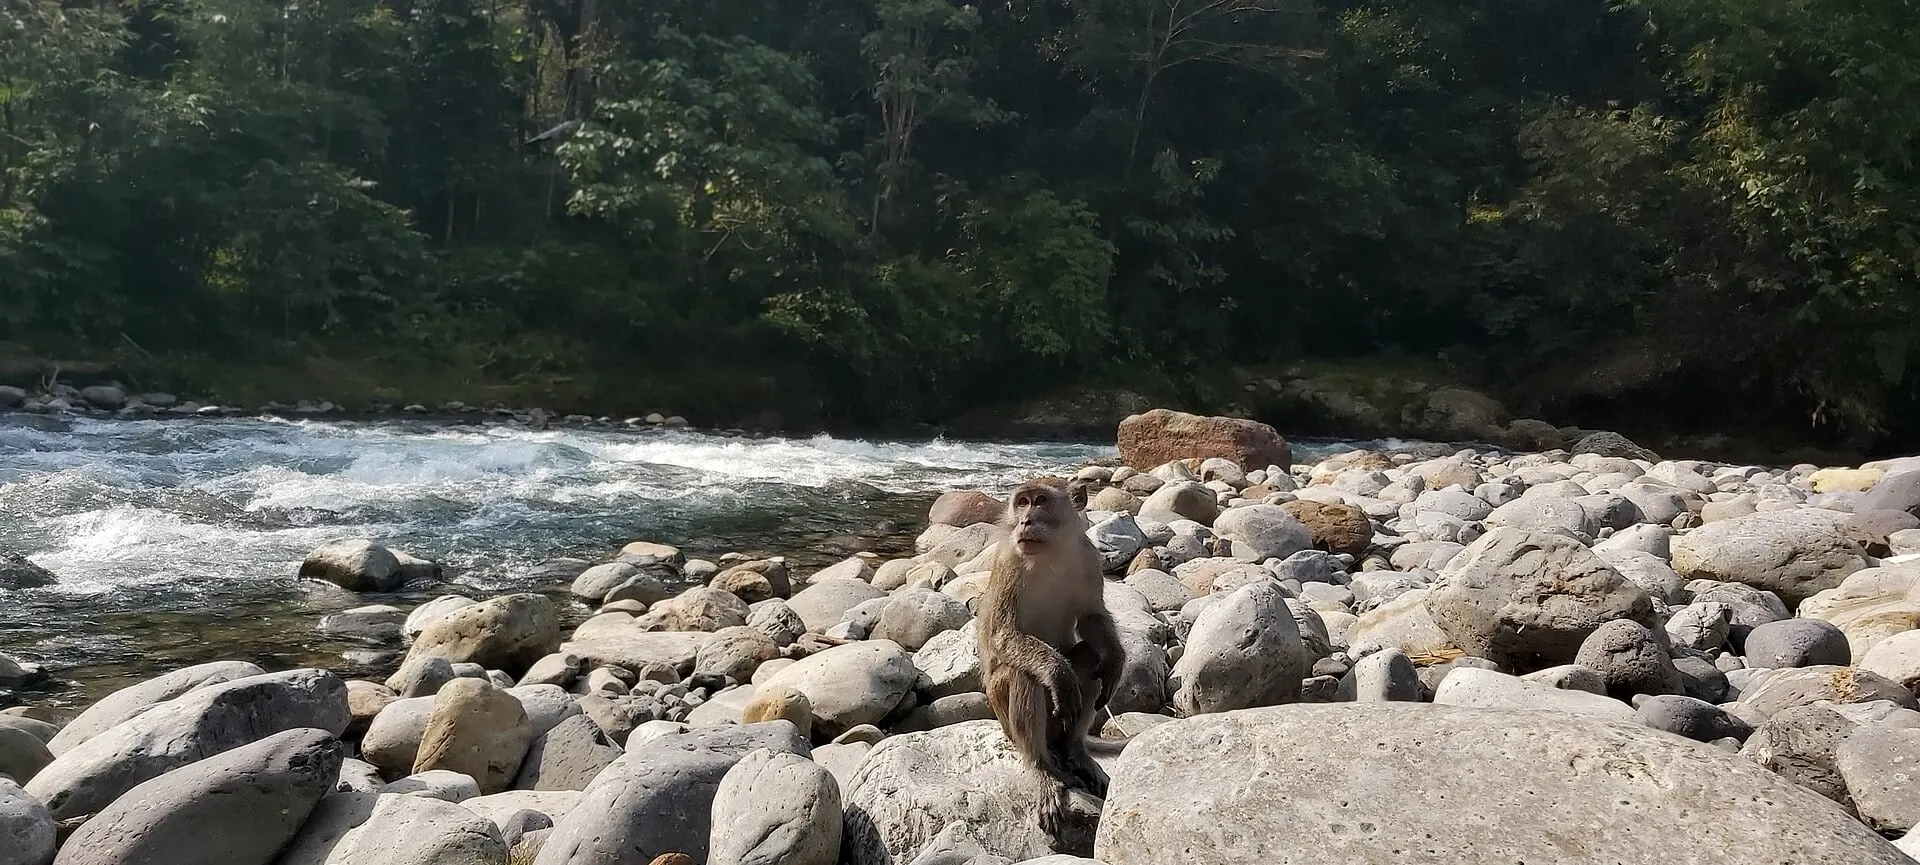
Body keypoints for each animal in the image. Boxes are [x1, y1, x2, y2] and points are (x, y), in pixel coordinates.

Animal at [977, 478, 1130, 838]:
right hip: (1005, 716)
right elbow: (1004, 635)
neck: (1051, 553)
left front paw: (1116, 660)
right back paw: (1041, 769)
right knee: (1023, 676)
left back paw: (1075, 750)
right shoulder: (1008, 563)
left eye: (1040, 501)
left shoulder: (1089, 557)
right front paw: (1057, 672)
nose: (1024, 521)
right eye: (1022, 502)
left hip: (1060, 725)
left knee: (1090, 659)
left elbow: (1091, 617)